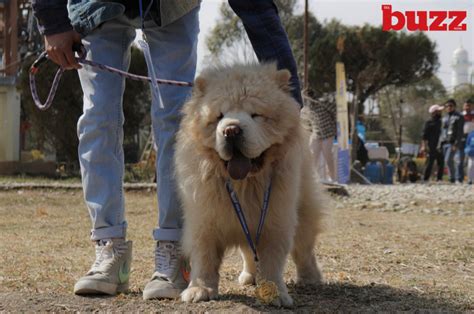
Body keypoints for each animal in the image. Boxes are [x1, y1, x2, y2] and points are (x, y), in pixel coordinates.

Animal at [174, 63, 326, 306]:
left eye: (256, 115)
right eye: (219, 116)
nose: (231, 130)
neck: (244, 185)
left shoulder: (275, 219)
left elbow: (273, 260)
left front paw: (275, 293)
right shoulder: (204, 219)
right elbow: (204, 257)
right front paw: (199, 289)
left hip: (302, 210)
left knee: (304, 248)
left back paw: (310, 278)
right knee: (248, 253)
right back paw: (249, 276)